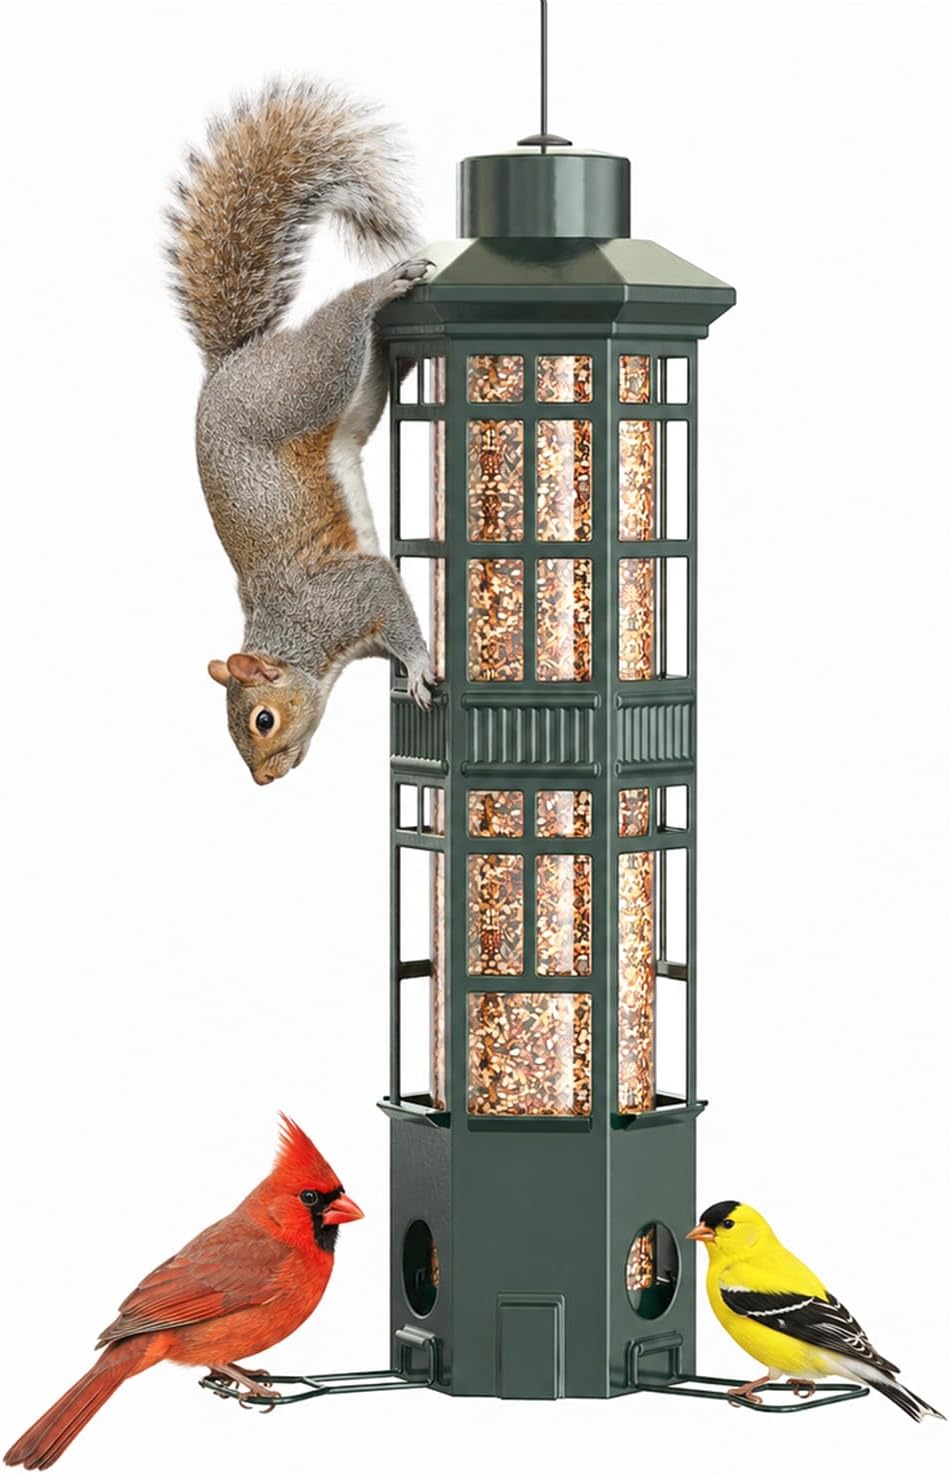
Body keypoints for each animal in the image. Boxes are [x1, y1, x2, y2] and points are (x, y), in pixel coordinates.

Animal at [166, 81, 435, 784]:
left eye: (263, 720)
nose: (265, 781)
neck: (301, 641)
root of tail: (234, 363)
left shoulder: (346, 595)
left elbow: (387, 595)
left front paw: (421, 666)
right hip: (345, 396)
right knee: (373, 368)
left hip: (307, 380)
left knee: (346, 320)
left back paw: (383, 285)